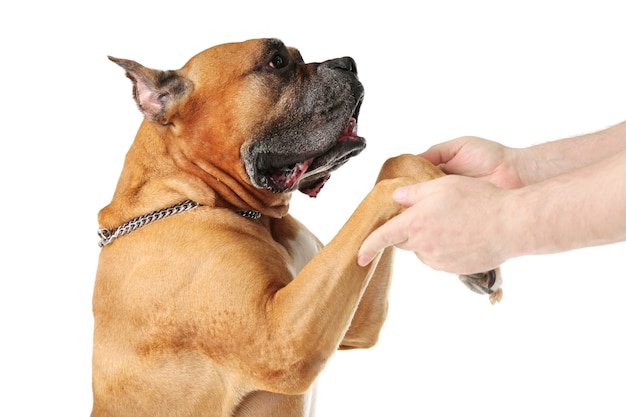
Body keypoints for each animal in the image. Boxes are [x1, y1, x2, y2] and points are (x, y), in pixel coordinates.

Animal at [91, 37, 502, 414]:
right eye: (277, 61)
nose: (347, 62)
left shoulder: (355, 321)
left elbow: (394, 163)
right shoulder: (285, 342)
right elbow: (386, 188)